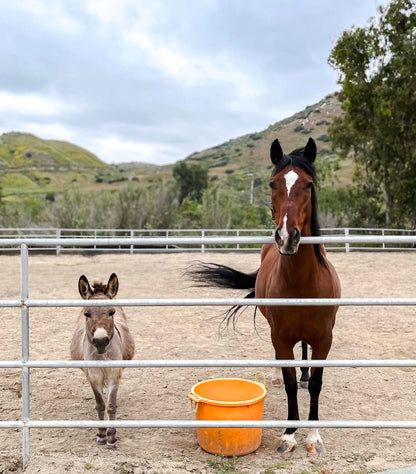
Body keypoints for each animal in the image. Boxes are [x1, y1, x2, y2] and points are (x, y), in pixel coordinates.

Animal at [70, 272, 135, 446]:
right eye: (87, 314)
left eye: (111, 312)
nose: (100, 341)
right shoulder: (93, 375)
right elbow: (100, 405)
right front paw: (101, 434)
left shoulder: (114, 374)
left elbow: (111, 405)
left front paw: (111, 436)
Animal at [188, 138, 342, 456]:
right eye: (272, 184)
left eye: (309, 184)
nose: (287, 237)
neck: (302, 284)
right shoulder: (280, 337)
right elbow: (289, 383)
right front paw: (289, 435)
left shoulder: (325, 339)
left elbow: (317, 384)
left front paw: (314, 436)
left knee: (305, 356)